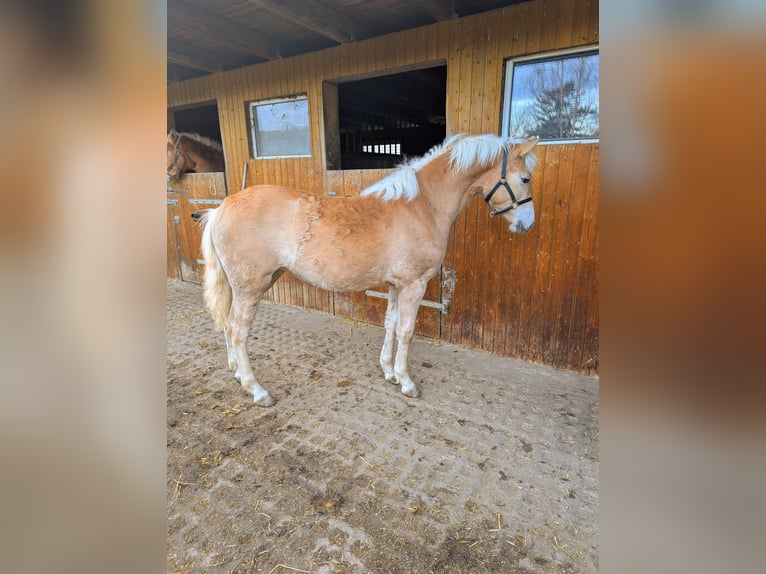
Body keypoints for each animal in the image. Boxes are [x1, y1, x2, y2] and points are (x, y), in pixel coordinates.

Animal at [201, 135, 544, 408]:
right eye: (526, 178)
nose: (527, 224)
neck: (421, 206)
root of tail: (221, 208)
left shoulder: (395, 285)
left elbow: (390, 324)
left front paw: (389, 372)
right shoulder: (414, 285)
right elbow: (406, 331)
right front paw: (406, 382)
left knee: (229, 326)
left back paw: (236, 372)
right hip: (251, 286)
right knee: (237, 330)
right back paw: (256, 390)